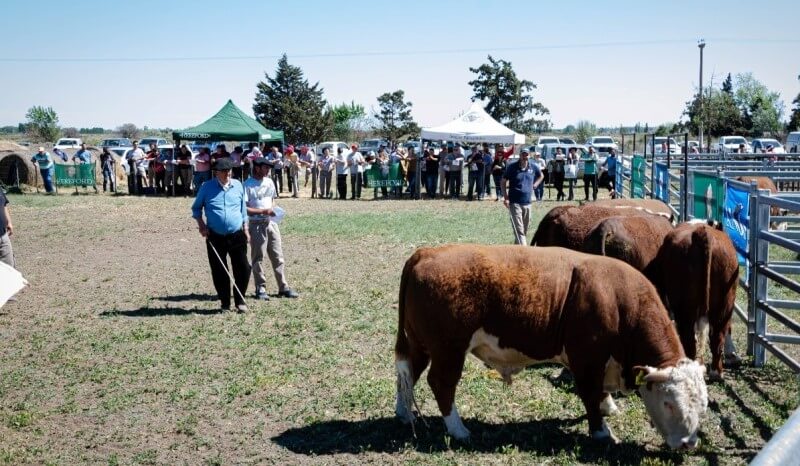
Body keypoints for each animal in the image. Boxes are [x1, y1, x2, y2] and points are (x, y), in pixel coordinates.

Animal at [394, 246, 708, 450]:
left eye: (702, 405)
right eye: (668, 403)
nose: (688, 445)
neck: (619, 301)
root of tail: (427, 252)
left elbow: (600, 393)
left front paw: (609, 406)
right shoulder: (586, 360)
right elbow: (590, 395)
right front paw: (601, 432)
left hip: (420, 344)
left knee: (407, 374)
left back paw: (405, 414)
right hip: (448, 350)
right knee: (441, 383)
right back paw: (458, 430)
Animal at [648, 219, 736, 378]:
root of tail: (702, 232)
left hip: (685, 308)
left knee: (689, 339)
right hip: (725, 304)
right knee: (717, 336)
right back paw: (716, 372)